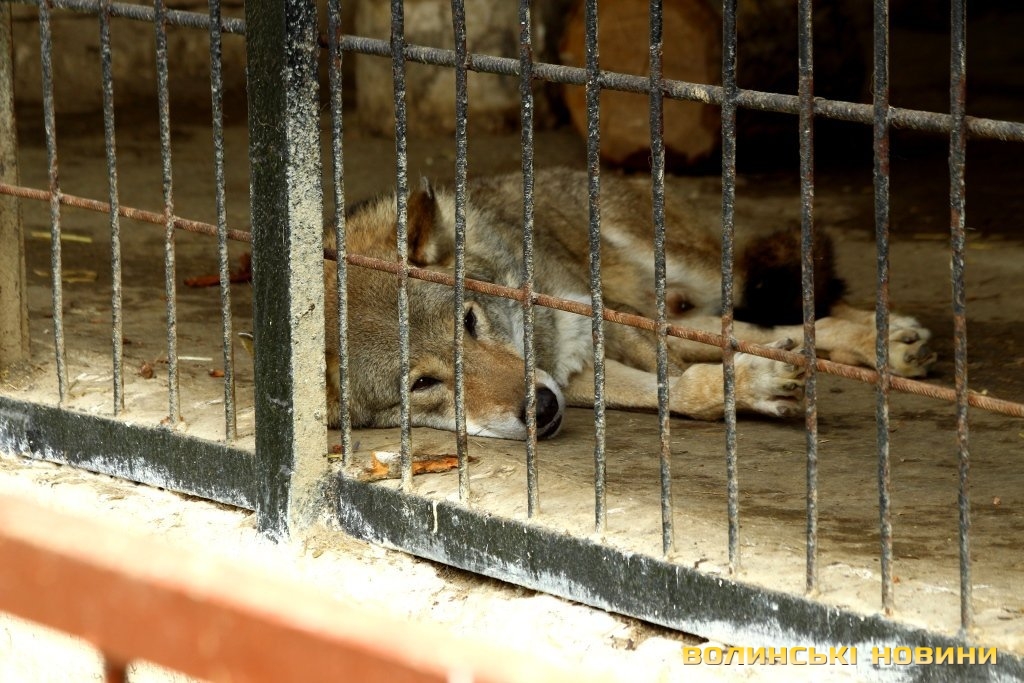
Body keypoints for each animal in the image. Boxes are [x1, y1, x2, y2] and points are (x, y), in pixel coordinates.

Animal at [323, 168, 936, 440]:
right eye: (423, 384)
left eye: (470, 322)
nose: (540, 408)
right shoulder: (575, 374)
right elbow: (682, 386)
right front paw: (744, 387)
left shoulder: (604, 333)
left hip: (697, 276)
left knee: (795, 300)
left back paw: (888, 341)